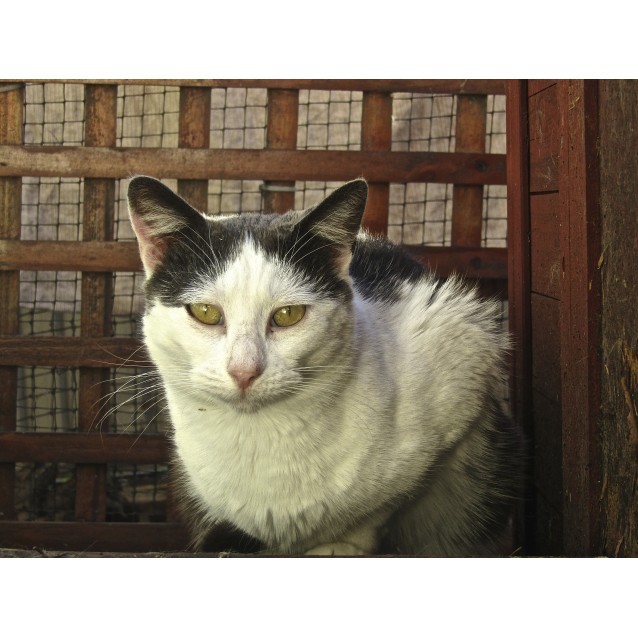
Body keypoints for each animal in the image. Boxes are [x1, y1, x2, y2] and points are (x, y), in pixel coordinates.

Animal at [127, 178, 524, 556]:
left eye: (288, 314)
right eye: (206, 312)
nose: (244, 371)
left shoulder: (463, 367)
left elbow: (377, 510)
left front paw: (340, 545)